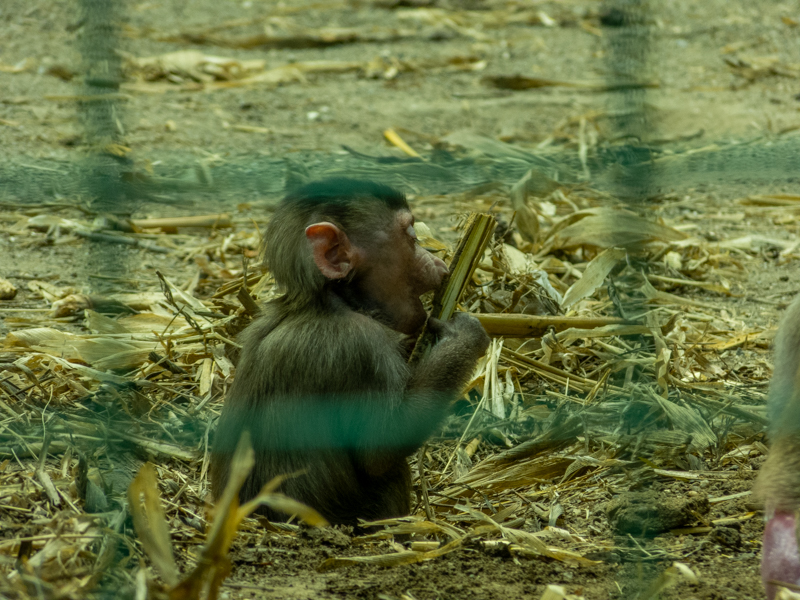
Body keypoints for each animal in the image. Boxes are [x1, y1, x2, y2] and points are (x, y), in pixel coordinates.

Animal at [210, 178, 490, 526]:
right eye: (412, 238)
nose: (437, 261)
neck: (327, 301)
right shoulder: (361, 345)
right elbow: (381, 448)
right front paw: (462, 337)